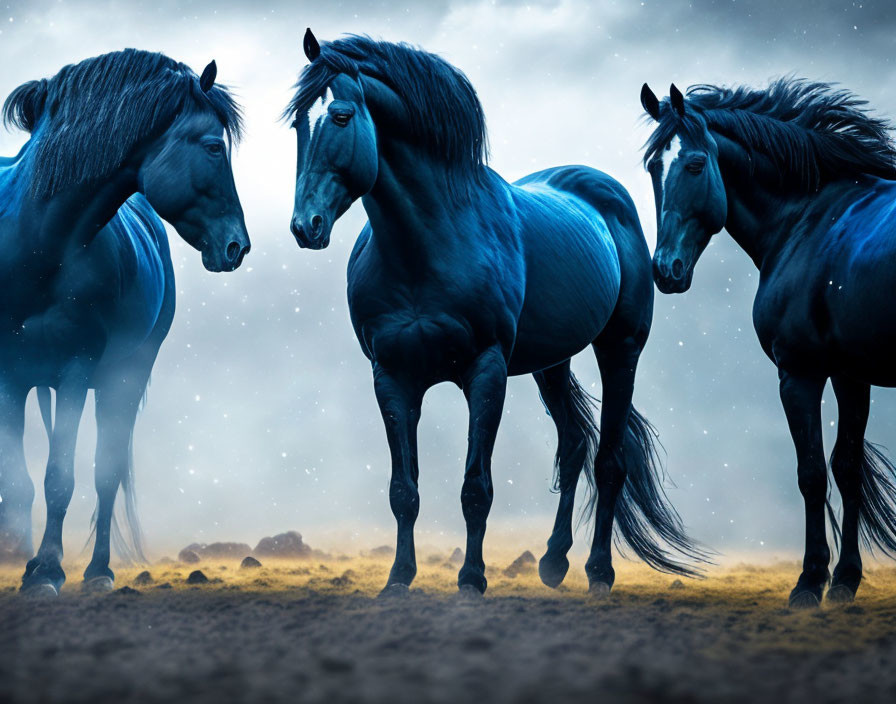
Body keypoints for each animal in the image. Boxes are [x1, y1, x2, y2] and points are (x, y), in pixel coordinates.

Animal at [644, 75, 896, 604]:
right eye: (653, 167)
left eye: (695, 164)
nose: (666, 270)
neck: (809, 219)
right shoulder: (850, 375)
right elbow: (847, 469)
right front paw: (845, 580)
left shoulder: (798, 372)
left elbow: (812, 473)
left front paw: (810, 582)